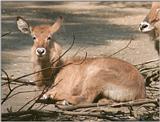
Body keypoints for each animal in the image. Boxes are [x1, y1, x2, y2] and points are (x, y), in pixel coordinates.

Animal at [16, 15, 146, 104]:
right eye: (33, 37)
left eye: (49, 37)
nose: (40, 51)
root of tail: (139, 89)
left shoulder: (62, 86)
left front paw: (47, 96)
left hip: (95, 78)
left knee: (85, 98)